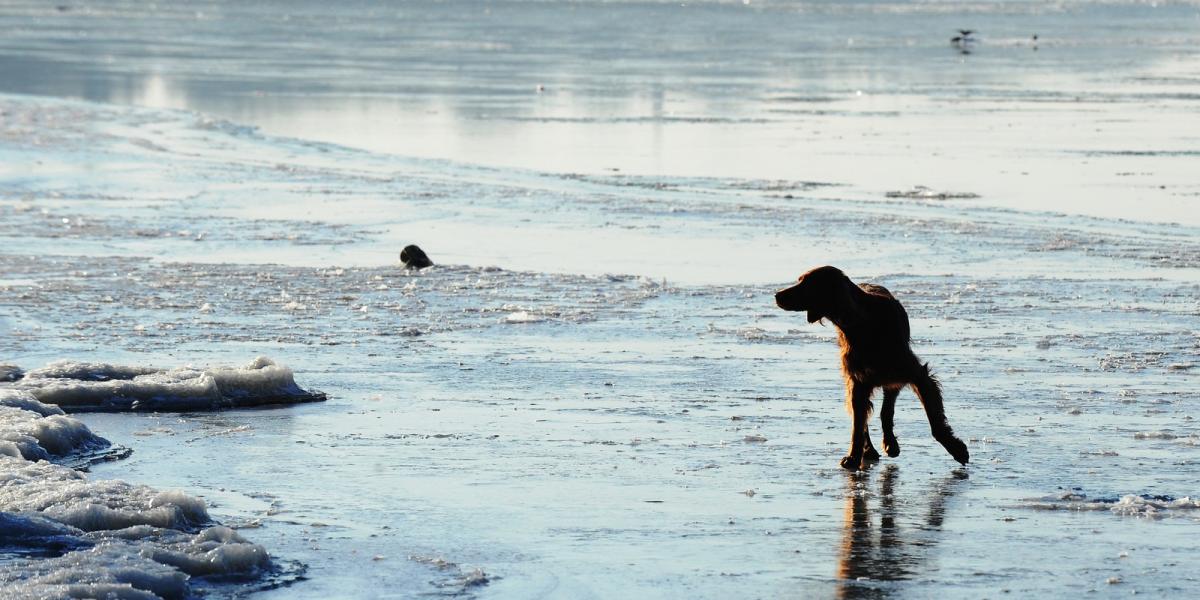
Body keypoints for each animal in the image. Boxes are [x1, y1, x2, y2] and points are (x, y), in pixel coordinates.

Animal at [777, 266, 964, 468]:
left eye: (807, 283)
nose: (776, 295)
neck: (862, 324)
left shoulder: (917, 375)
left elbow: (934, 421)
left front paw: (956, 448)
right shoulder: (859, 381)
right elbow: (858, 426)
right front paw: (853, 456)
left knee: (886, 411)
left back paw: (890, 443)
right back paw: (870, 449)